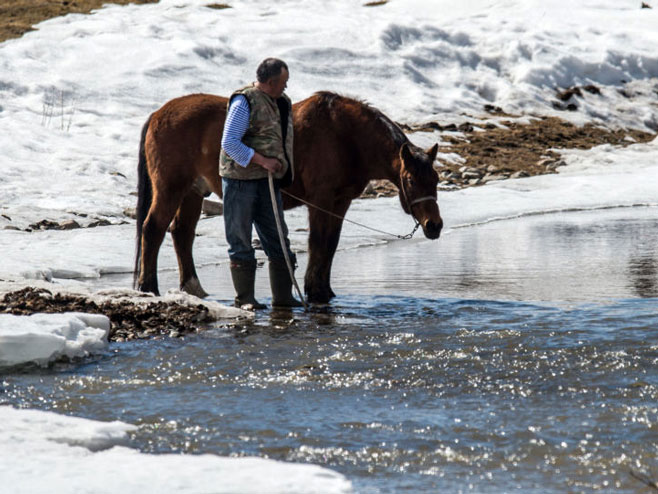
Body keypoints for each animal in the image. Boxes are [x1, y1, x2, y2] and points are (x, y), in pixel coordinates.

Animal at [133, 90, 440, 302]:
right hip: (171, 188)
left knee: (181, 233)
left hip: (192, 193)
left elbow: (331, 244)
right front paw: (315, 291)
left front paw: (325, 290)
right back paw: (149, 287)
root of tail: (158, 114)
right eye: (411, 180)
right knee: (154, 229)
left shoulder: (340, 204)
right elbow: (319, 243)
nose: (434, 226)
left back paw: (194, 288)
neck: (346, 137)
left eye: (435, 180)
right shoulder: (321, 201)